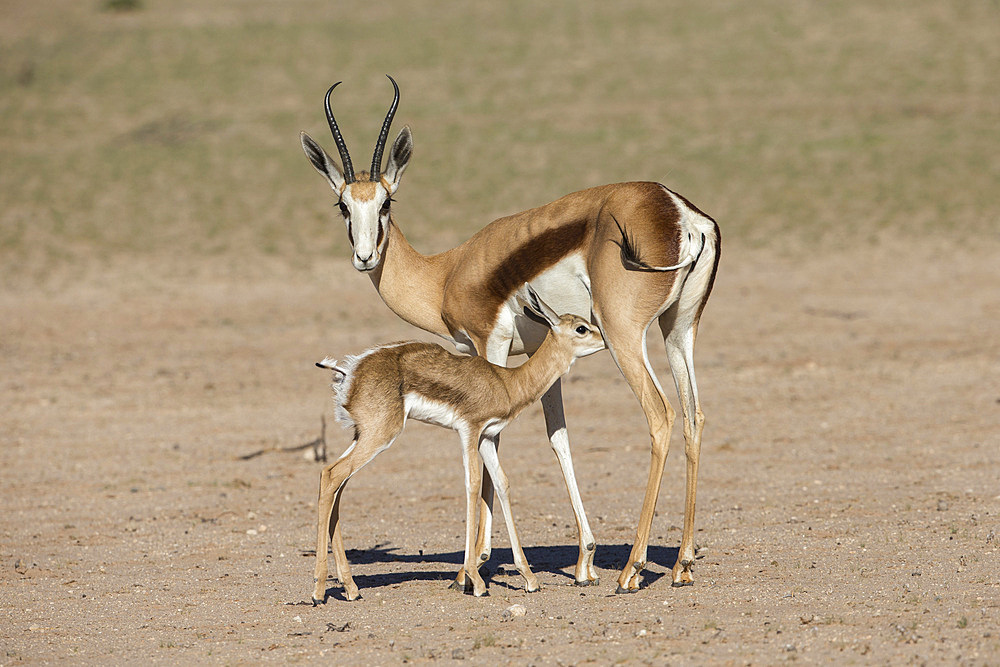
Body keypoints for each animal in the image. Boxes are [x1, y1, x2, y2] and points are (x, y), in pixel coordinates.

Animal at [312, 288, 604, 604]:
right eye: (581, 328)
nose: (606, 339)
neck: (507, 383)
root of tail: (351, 370)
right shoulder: (469, 431)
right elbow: (473, 485)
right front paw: (476, 582)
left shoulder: (487, 437)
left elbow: (502, 484)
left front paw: (529, 579)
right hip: (380, 435)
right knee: (331, 475)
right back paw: (318, 590)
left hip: (362, 435)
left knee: (335, 482)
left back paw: (350, 587)